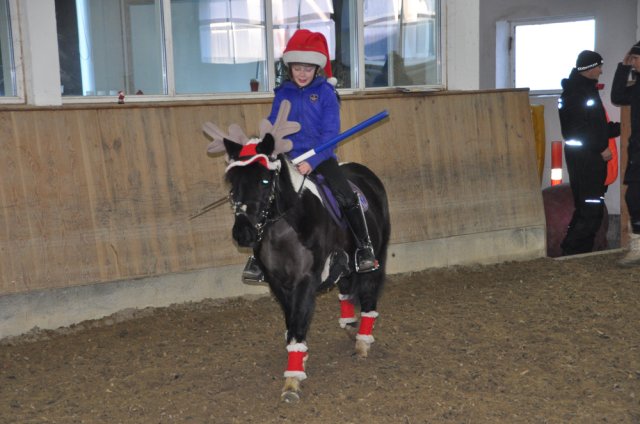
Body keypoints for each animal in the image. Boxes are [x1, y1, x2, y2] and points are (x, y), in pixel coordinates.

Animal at [203, 101, 390, 402]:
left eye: (265, 180)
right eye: (232, 181)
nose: (243, 233)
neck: (283, 228)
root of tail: (364, 174)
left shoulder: (305, 280)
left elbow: (300, 319)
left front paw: (291, 382)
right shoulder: (278, 283)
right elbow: (292, 321)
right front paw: (299, 360)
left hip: (376, 257)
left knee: (369, 295)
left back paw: (362, 343)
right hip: (344, 263)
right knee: (346, 288)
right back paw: (349, 324)